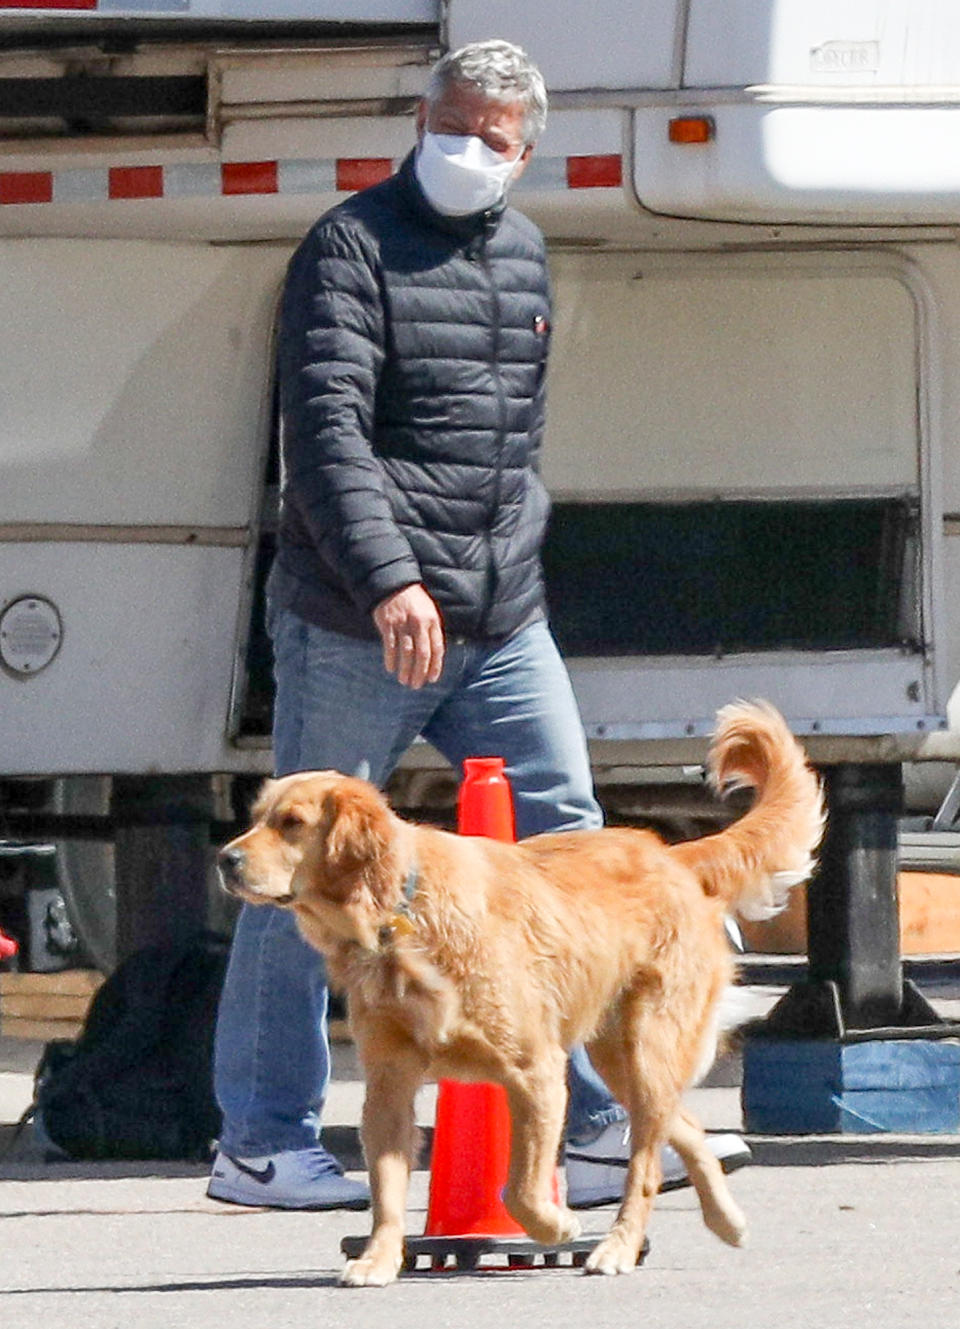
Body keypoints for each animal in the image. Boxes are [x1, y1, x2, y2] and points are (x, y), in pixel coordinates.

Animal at [219, 701, 824, 1281]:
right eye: (256, 819)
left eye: (292, 823)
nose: (226, 859)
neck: (400, 914)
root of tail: (668, 854)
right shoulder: (389, 1084)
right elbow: (387, 1191)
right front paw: (379, 1259)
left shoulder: (536, 1071)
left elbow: (521, 1190)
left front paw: (555, 1227)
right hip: (621, 1060)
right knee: (687, 1129)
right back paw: (725, 1218)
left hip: (650, 1047)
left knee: (646, 1167)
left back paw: (619, 1246)